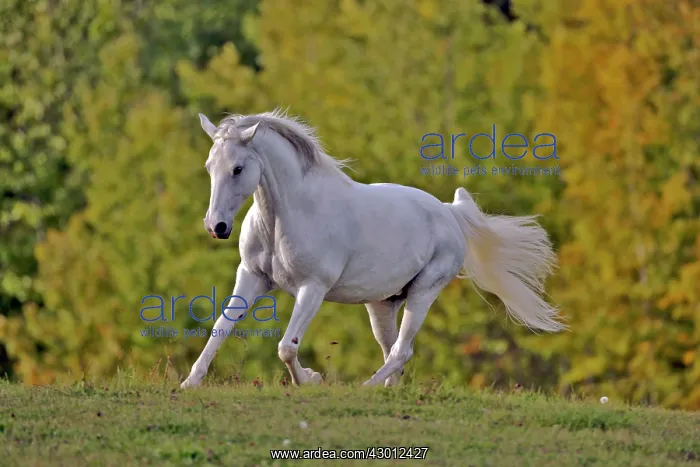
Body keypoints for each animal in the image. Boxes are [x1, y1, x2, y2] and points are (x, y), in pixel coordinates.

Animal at [180, 109, 565, 389]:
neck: (286, 216)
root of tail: (450, 213)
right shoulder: (252, 277)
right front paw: (190, 383)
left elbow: (286, 347)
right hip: (383, 304)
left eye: (238, 168)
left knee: (400, 351)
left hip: (424, 292)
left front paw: (312, 380)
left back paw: (366, 388)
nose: (216, 227)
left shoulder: (312, 288)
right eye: (209, 167)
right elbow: (221, 327)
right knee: (391, 350)